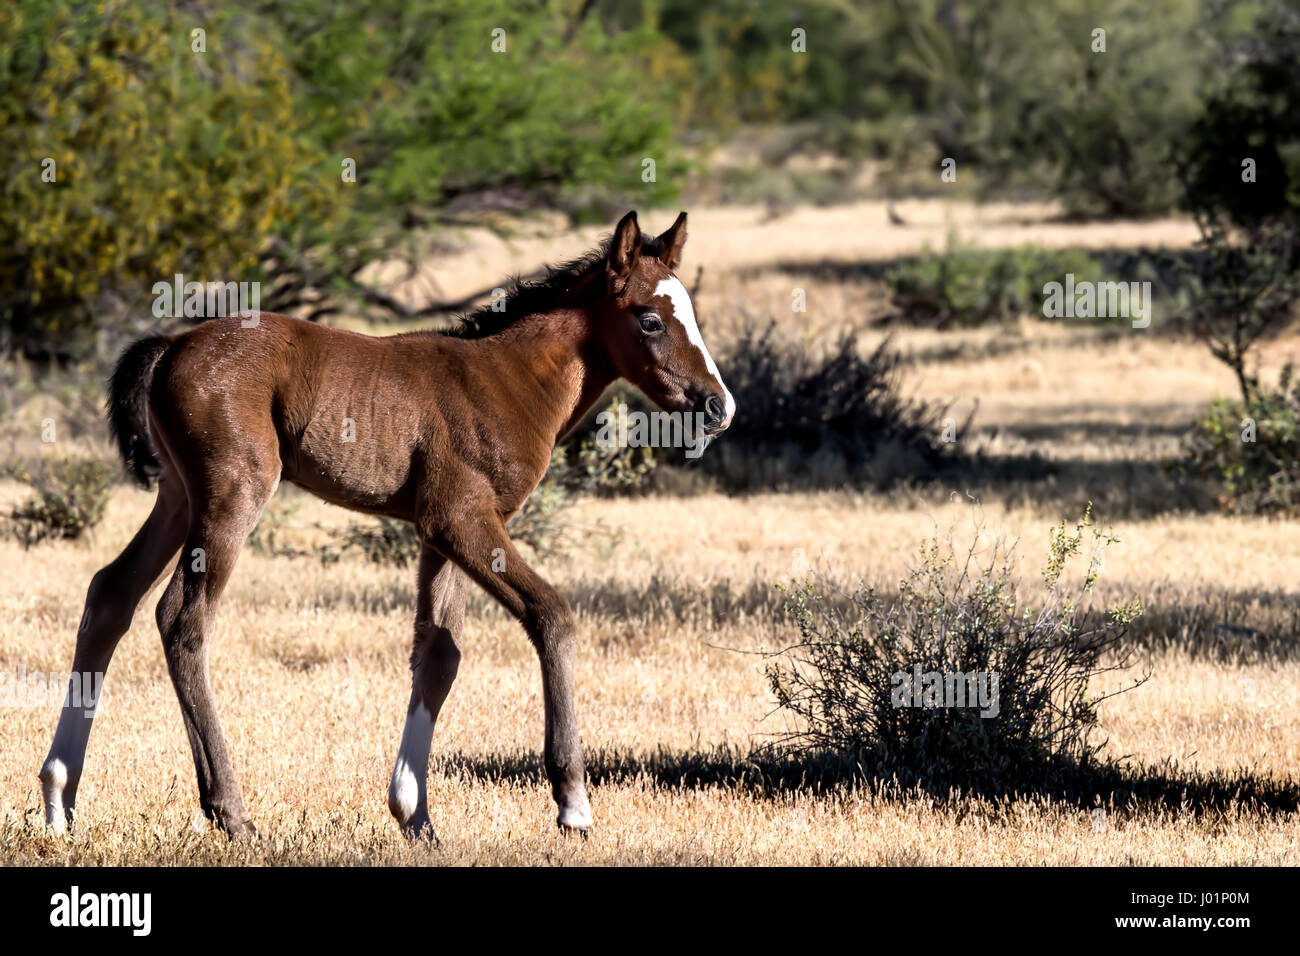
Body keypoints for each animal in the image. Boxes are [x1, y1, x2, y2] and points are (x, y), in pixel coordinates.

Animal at [38, 213, 733, 842]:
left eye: (693, 315)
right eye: (650, 319)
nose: (717, 405)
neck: (508, 380)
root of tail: (171, 348)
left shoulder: (439, 535)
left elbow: (439, 654)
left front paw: (415, 814)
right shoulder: (463, 521)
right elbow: (551, 616)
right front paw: (573, 805)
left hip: (179, 496)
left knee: (111, 594)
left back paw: (58, 798)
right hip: (233, 494)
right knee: (182, 617)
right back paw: (229, 813)